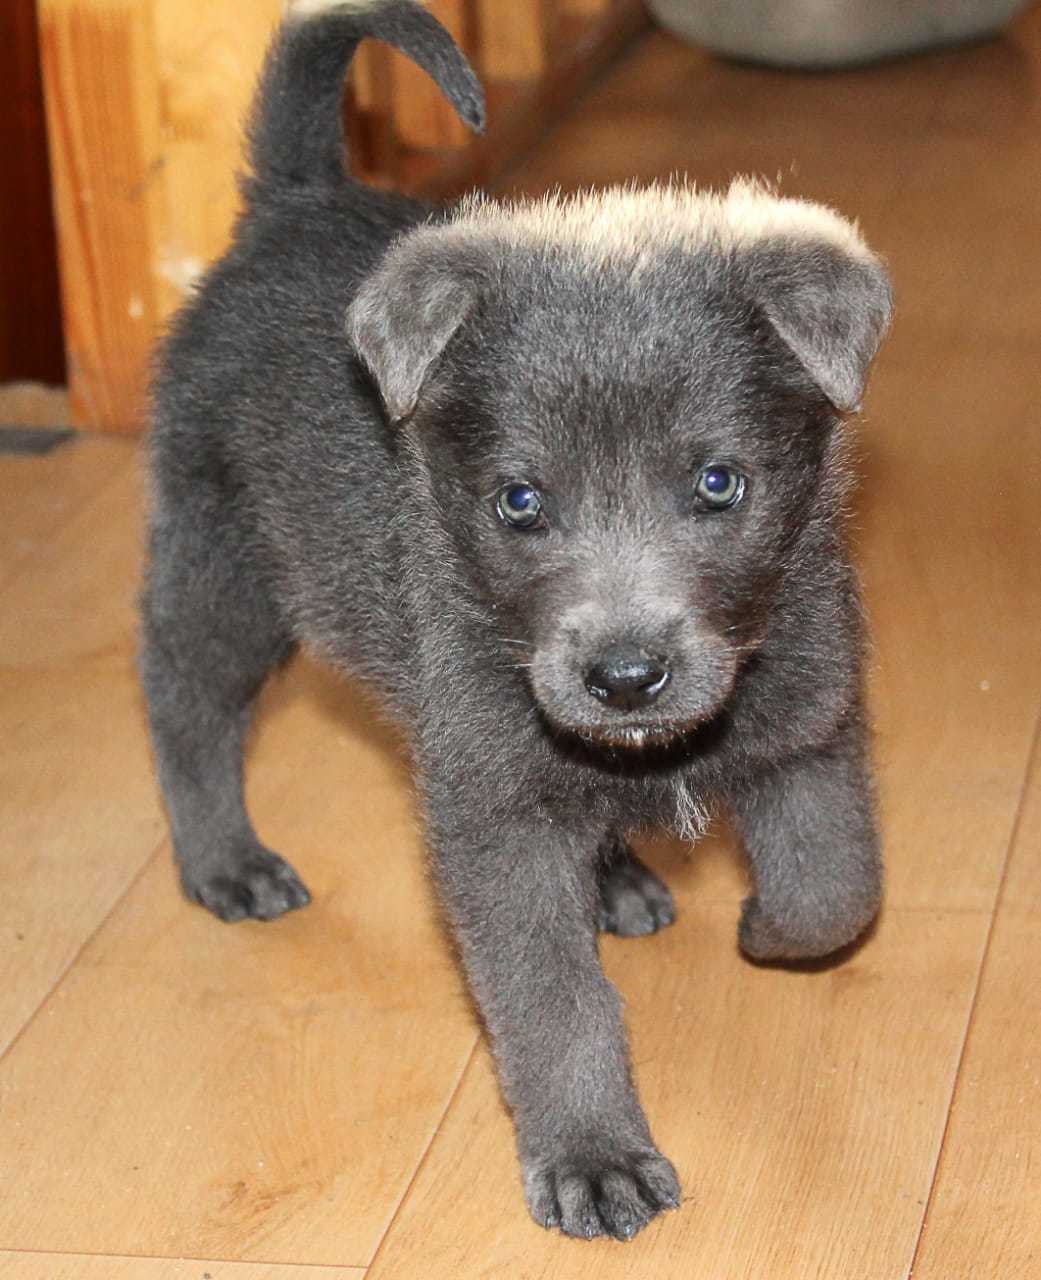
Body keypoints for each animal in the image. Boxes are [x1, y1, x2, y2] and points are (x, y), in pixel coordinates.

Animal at [138, 0, 891, 1239]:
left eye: (719, 483)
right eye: (520, 501)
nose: (625, 677)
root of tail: (293, 199)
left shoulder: (810, 726)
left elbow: (837, 889)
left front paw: (762, 931)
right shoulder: (495, 808)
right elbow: (552, 1001)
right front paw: (593, 1156)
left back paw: (622, 879)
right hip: (227, 566)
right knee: (182, 700)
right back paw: (226, 862)